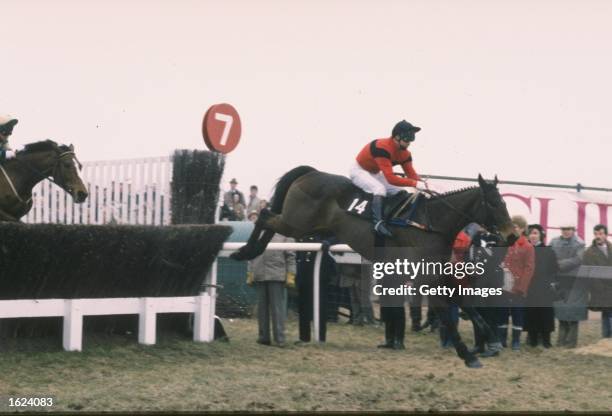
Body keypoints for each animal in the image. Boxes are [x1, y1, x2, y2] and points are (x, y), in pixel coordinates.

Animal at [232, 166, 520, 368]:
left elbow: (466, 303)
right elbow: (448, 315)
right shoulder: (424, 279)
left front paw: (491, 338)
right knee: (265, 215)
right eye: (494, 203)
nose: (512, 236)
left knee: (269, 217)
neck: (432, 223)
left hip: (303, 225)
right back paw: (245, 250)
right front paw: (468, 354)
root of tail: (311, 172)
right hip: (297, 222)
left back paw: (248, 250)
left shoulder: (439, 274)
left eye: (505, 202)